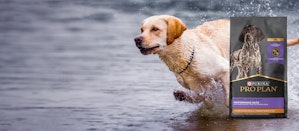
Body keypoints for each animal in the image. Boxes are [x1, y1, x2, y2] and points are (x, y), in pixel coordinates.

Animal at [135, 15, 299, 107]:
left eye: (155, 29)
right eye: (142, 29)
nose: (137, 39)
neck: (186, 54)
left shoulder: (224, 70)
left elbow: (226, 99)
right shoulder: (200, 86)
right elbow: (202, 96)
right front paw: (183, 96)